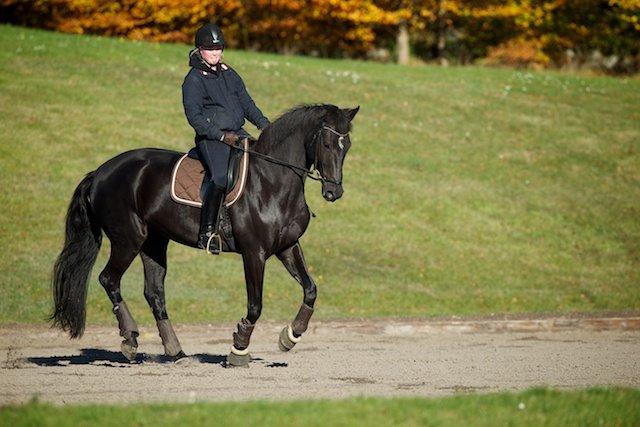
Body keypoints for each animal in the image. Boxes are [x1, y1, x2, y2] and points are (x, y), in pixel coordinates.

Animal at [48, 104, 360, 368]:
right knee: (109, 279)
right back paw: (131, 340)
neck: (272, 181)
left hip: (154, 242)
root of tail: (101, 172)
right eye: (327, 144)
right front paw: (238, 349)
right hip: (128, 239)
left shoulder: (287, 247)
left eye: (346, 146)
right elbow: (255, 305)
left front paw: (290, 337)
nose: (334, 191)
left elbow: (310, 290)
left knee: (154, 292)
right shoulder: (254, 252)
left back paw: (175, 351)